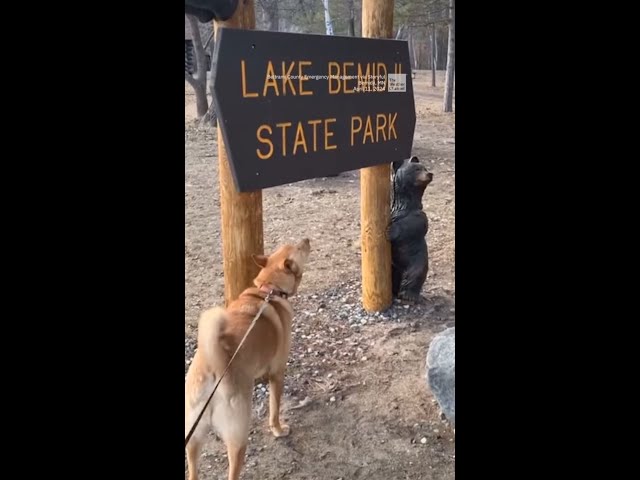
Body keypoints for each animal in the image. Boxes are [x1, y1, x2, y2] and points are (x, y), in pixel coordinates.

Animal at [184, 238, 312, 480]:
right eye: (299, 248)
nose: (307, 240)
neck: (269, 290)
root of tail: (212, 369)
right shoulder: (277, 373)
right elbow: (274, 408)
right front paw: (278, 430)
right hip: (238, 435)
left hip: (193, 436)